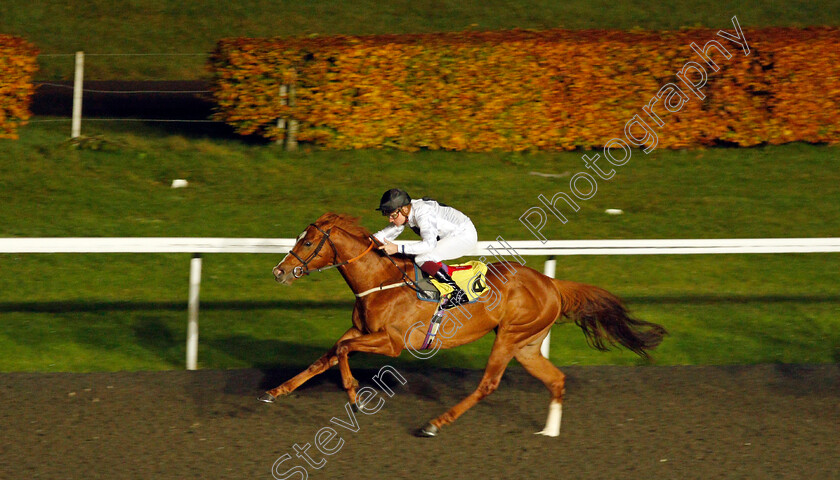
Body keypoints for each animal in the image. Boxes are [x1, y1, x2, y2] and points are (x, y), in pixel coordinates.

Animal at [266, 212, 668, 436]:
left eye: (309, 243)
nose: (279, 272)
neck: (381, 281)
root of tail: (551, 284)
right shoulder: (363, 330)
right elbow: (329, 354)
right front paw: (277, 390)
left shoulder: (391, 342)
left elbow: (344, 351)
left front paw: (353, 395)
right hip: (526, 345)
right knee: (556, 380)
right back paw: (549, 431)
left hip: (509, 338)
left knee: (488, 384)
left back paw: (434, 424)